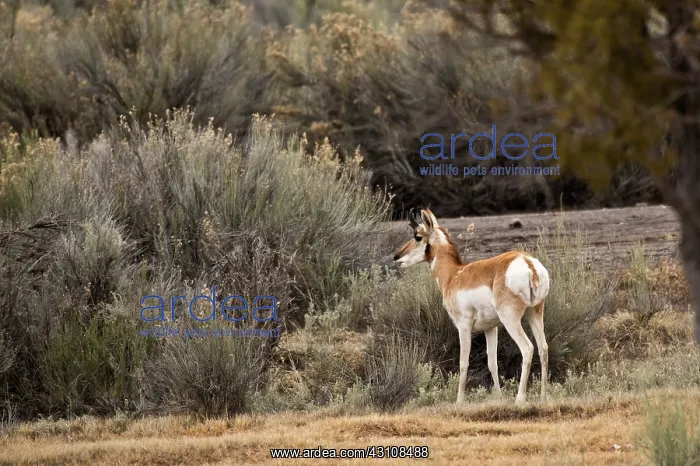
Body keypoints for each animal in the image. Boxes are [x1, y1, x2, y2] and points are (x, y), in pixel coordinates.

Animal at [393, 208, 550, 405]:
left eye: (418, 236)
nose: (396, 256)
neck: (454, 275)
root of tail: (527, 262)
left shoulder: (464, 326)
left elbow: (463, 362)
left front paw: (459, 401)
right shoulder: (491, 328)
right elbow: (492, 362)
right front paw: (498, 397)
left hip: (511, 320)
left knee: (528, 348)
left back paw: (519, 400)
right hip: (534, 312)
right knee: (543, 348)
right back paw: (544, 398)